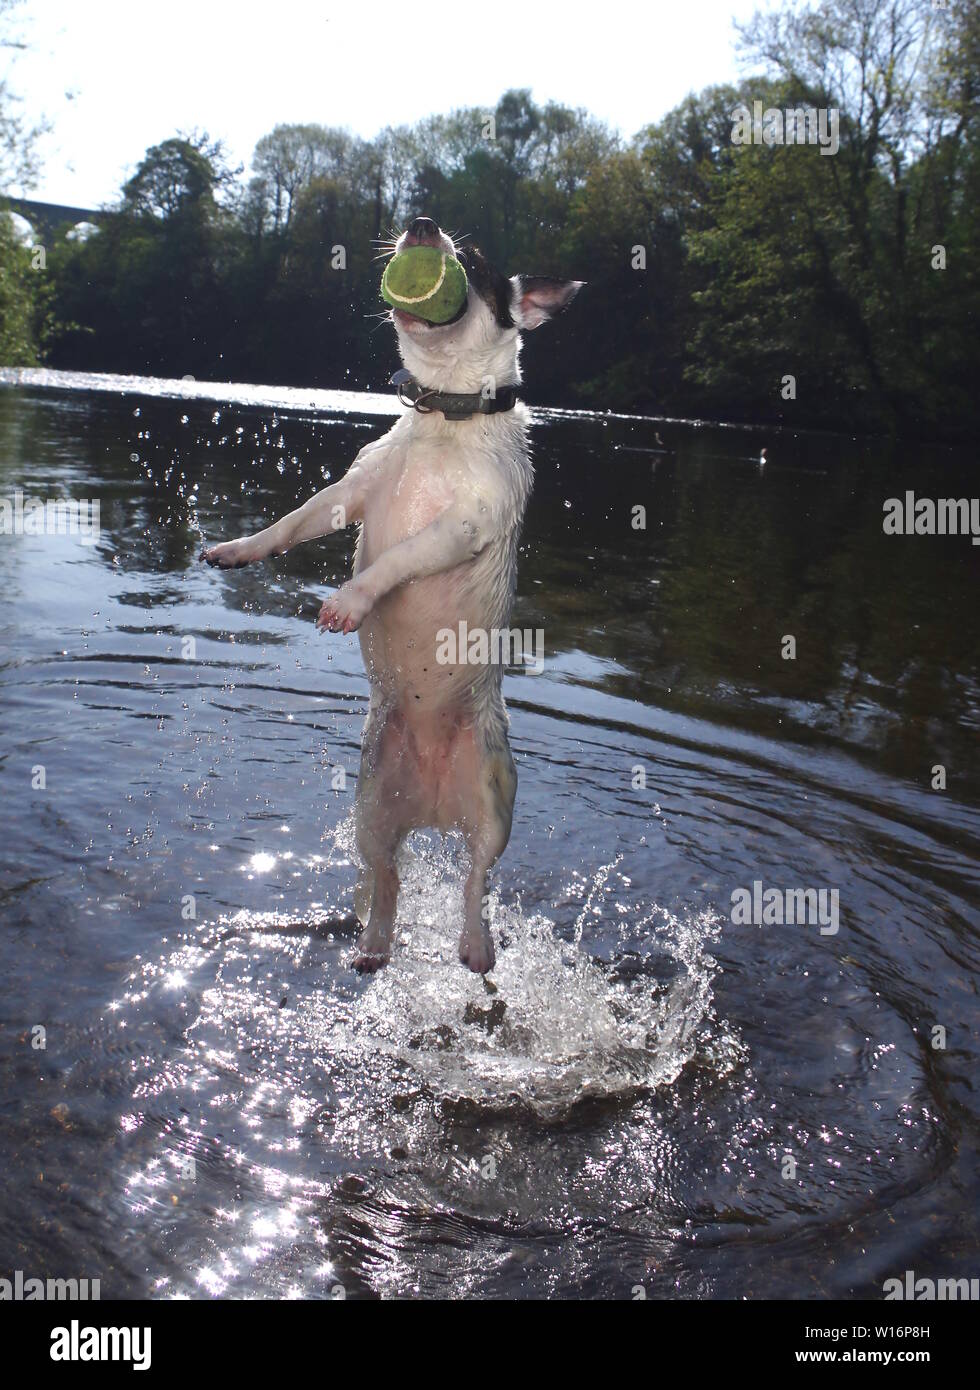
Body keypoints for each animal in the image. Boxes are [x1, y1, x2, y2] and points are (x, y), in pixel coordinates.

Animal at [201, 219, 578, 978]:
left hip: (492, 802)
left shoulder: (459, 527)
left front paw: (350, 599)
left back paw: (475, 946)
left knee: (475, 880)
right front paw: (239, 549)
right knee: (389, 880)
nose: (422, 224)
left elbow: (397, 560)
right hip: (372, 809)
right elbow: (291, 522)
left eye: (473, 261)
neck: (445, 418)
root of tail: (431, 811)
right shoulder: (348, 496)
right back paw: (374, 946)